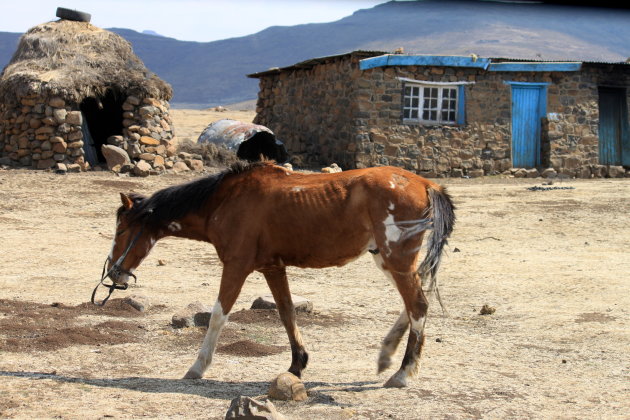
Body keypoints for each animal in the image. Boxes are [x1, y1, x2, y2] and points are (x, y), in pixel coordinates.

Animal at [106, 161, 456, 388]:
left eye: (121, 230)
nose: (113, 273)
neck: (225, 201)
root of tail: (427, 184)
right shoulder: (273, 267)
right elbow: (287, 313)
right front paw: (297, 364)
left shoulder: (236, 265)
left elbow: (219, 315)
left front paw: (197, 367)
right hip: (389, 259)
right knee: (413, 304)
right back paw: (386, 356)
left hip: (396, 258)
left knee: (418, 306)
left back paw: (402, 374)